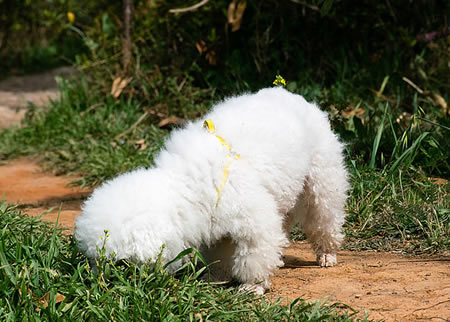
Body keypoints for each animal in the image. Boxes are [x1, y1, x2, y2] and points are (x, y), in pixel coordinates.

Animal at [74, 87, 348, 294]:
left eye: (118, 263)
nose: (96, 283)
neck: (185, 186)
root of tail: (286, 91)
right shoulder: (215, 223)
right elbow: (220, 253)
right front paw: (215, 276)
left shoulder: (253, 219)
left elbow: (254, 254)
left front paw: (253, 286)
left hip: (322, 180)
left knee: (325, 217)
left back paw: (327, 254)